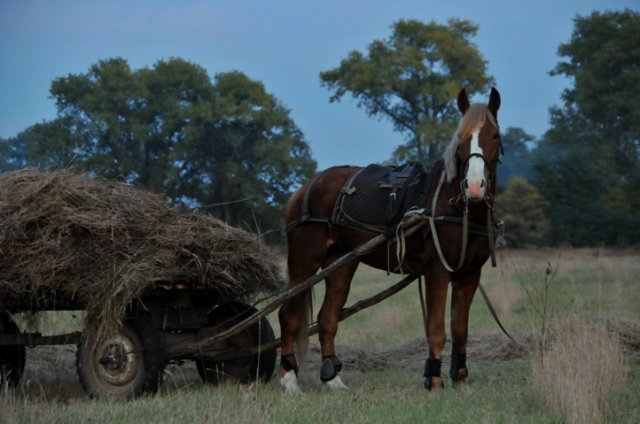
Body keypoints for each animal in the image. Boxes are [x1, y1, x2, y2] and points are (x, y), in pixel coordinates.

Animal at [278, 88, 502, 392]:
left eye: (495, 136)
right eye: (462, 137)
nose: (475, 186)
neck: (457, 206)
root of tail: (303, 189)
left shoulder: (469, 274)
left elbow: (459, 329)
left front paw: (460, 379)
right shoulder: (437, 271)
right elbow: (436, 330)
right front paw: (433, 379)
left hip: (341, 263)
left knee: (327, 318)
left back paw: (333, 378)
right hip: (304, 261)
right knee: (288, 316)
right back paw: (289, 378)